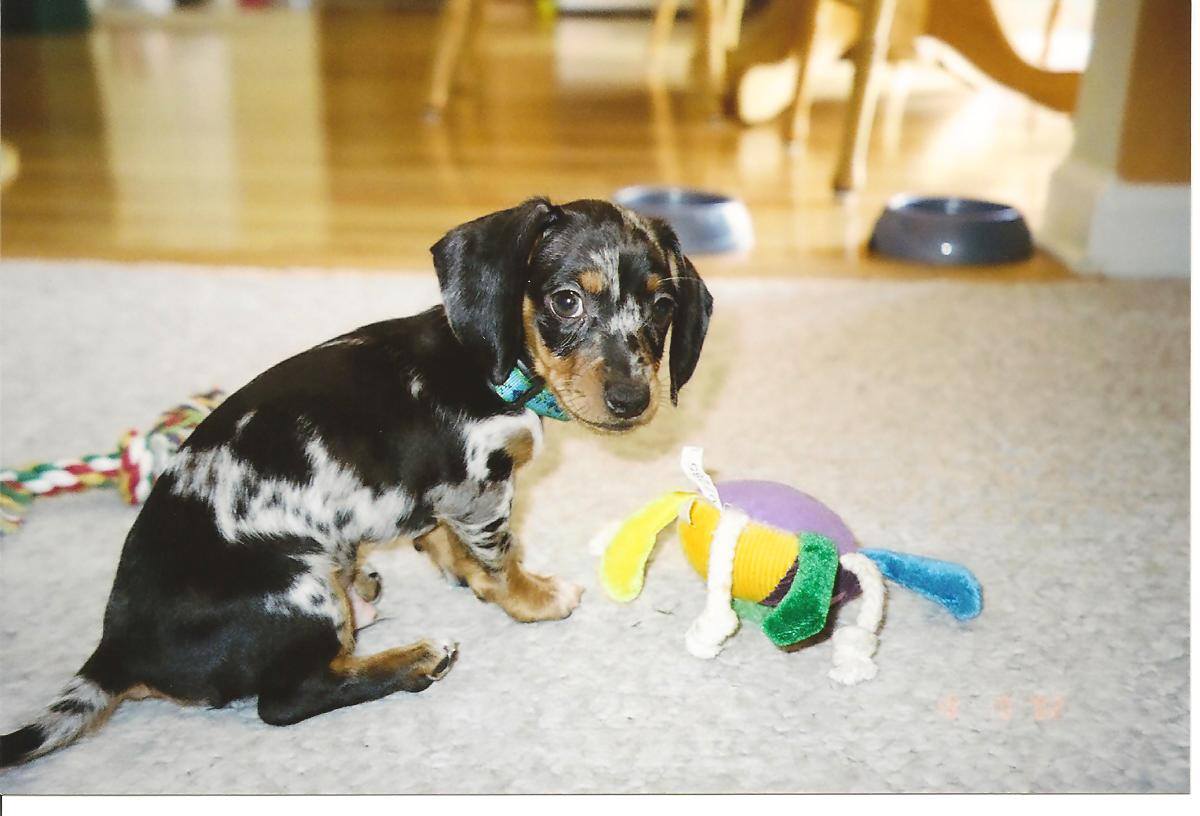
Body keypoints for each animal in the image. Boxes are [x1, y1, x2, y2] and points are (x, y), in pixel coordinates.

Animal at [0, 195, 710, 763]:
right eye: (567, 300)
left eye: (662, 305)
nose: (632, 400)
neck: (489, 366)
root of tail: (117, 650)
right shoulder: (483, 490)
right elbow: (501, 557)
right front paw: (532, 598)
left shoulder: (449, 498)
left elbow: (444, 540)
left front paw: (458, 570)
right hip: (298, 586)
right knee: (287, 698)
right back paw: (416, 659)